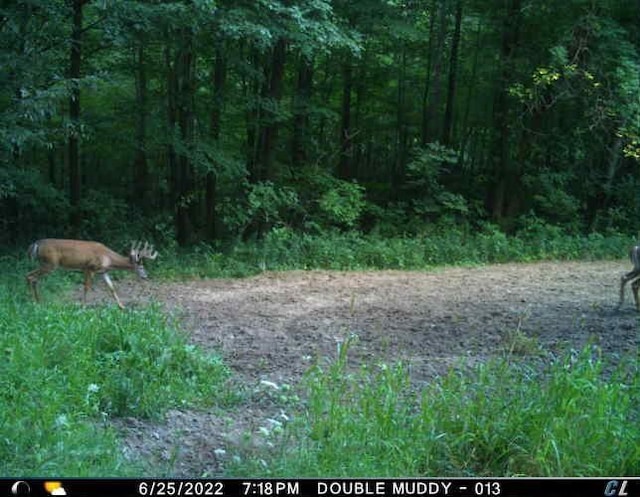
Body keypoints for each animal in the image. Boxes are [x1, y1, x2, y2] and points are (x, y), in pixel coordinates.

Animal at [26, 238, 159, 308]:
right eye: (141, 267)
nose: (146, 276)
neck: (108, 258)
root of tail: (36, 244)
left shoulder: (103, 272)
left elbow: (112, 288)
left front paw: (122, 306)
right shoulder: (89, 267)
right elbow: (87, 287)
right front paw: (84, 305)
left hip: (46, 264)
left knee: (31, 277)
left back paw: (38, 301)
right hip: (50, 264)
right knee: (30, 276)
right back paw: (33, 301)